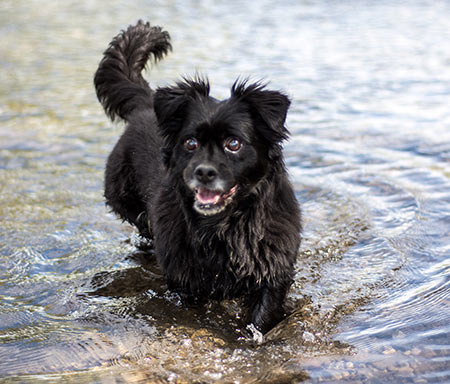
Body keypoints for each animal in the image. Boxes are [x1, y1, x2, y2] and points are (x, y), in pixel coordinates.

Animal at [93, 21, 300, 336]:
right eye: (190, 143)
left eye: (234, 143)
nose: (204, 172)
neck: (224, 227)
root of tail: (146, 104)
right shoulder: (185, 284)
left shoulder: (272, 275)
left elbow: (261, 319)